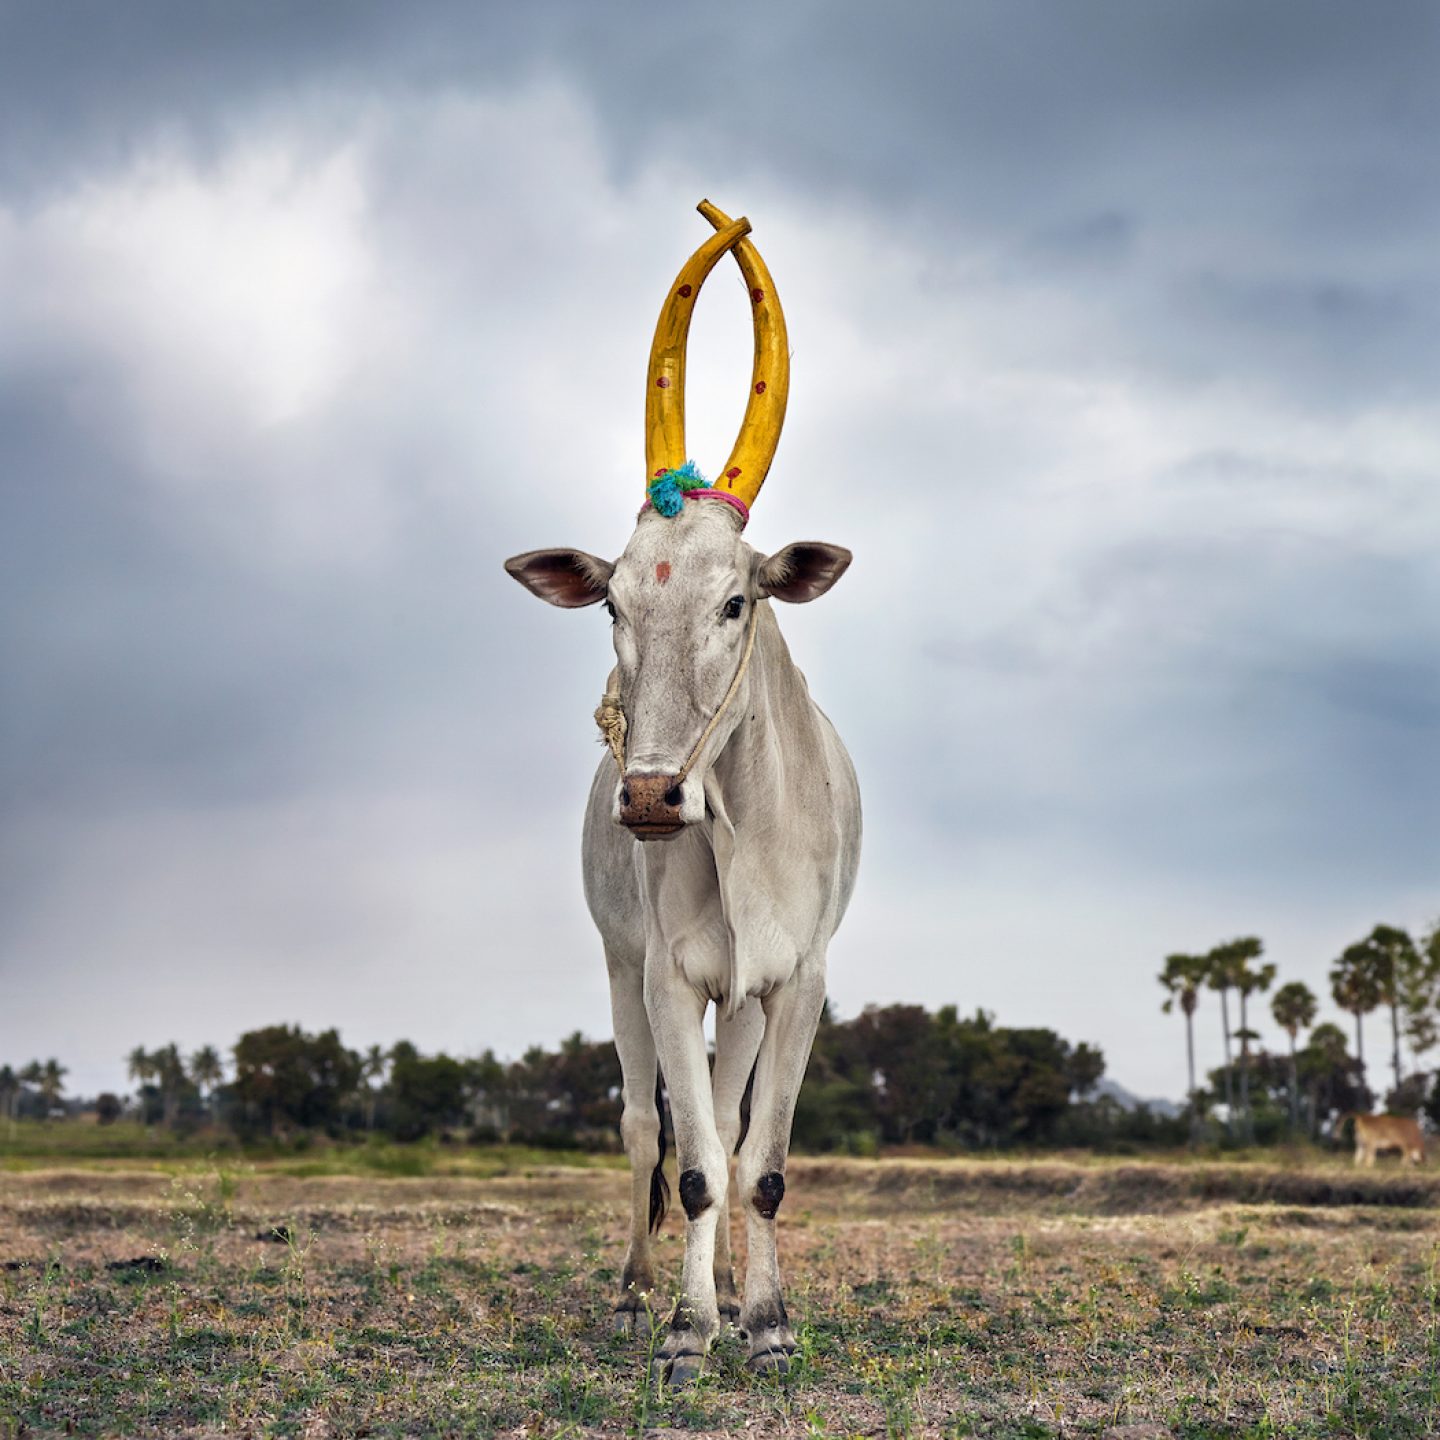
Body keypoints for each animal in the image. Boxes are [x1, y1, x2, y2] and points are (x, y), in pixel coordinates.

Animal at [506, 203, 858, 1382]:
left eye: (737, 600)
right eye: (613, 602)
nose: (653, 798)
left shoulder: (797, 983)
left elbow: (763, 1163)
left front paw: (770, 1320)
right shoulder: (665, 976)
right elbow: (695, 1161)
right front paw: (688, 1329)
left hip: (741, 1001)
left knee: (734, 1134)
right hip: (623, 966)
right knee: (643, 1130)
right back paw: (634, 1295)